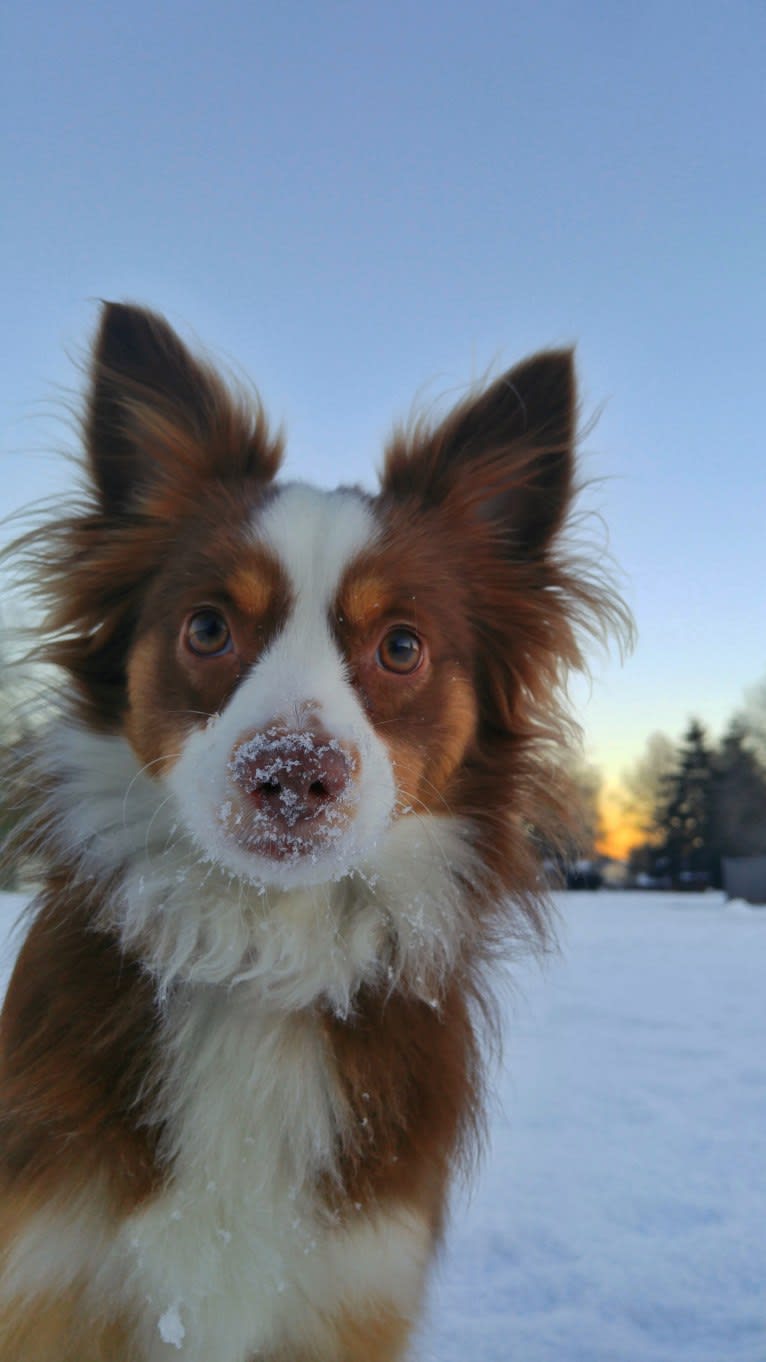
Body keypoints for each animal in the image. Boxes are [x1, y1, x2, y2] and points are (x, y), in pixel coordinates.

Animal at [0, 303, 621, 1356]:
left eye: (402, 646)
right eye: (208, 629)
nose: (293, 774)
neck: (262, 952)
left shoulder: (347, 1287)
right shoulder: (50, 1274)